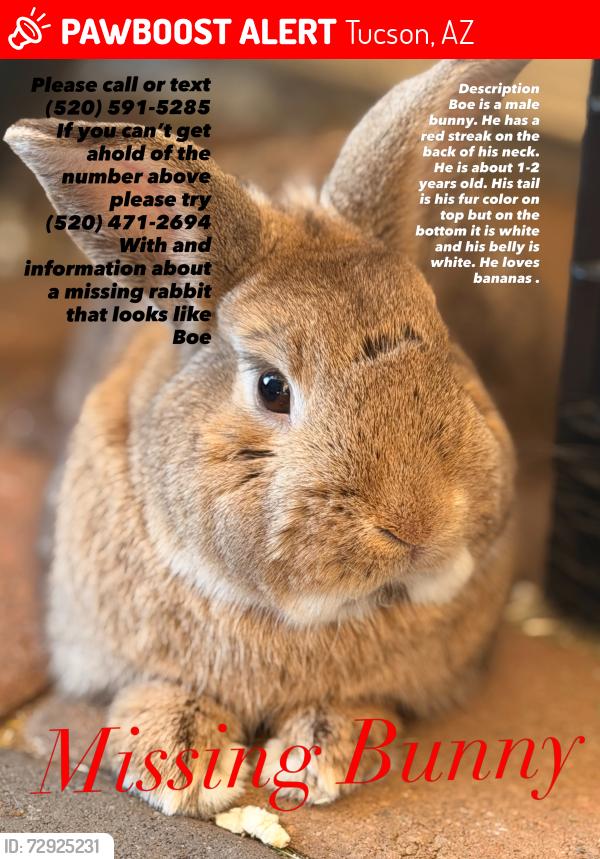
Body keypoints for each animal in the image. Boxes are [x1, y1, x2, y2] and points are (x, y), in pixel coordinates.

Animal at [4, 59, 525, 817]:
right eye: (272, 388)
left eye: (444, 344)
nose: (416, 523)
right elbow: (156, 688)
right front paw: (183, 767)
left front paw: (318, 756)